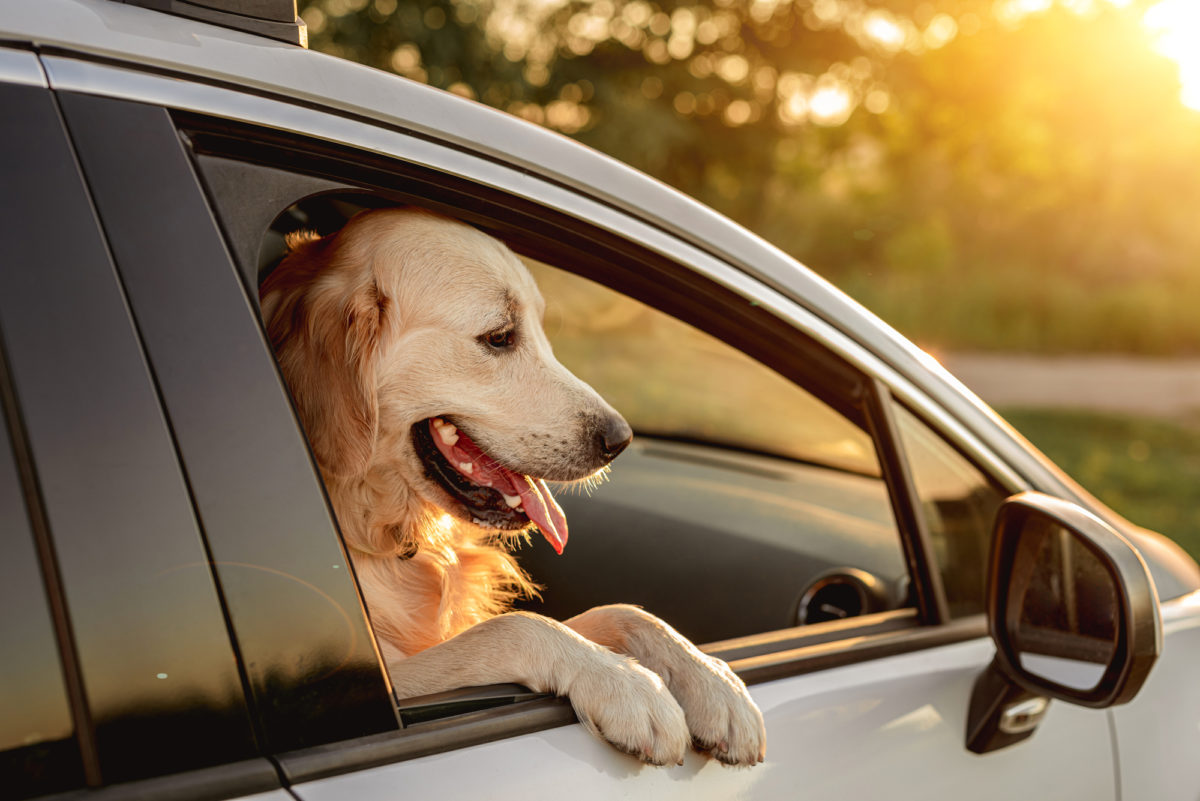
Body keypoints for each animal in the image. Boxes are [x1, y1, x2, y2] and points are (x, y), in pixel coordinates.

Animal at [262, 205, 768, 762]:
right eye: (500, 336)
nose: (620, 439)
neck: (374, 525)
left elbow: (625, 612)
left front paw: (712, 681)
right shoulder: (384, 687)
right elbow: (513, 627)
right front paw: (627, 684)